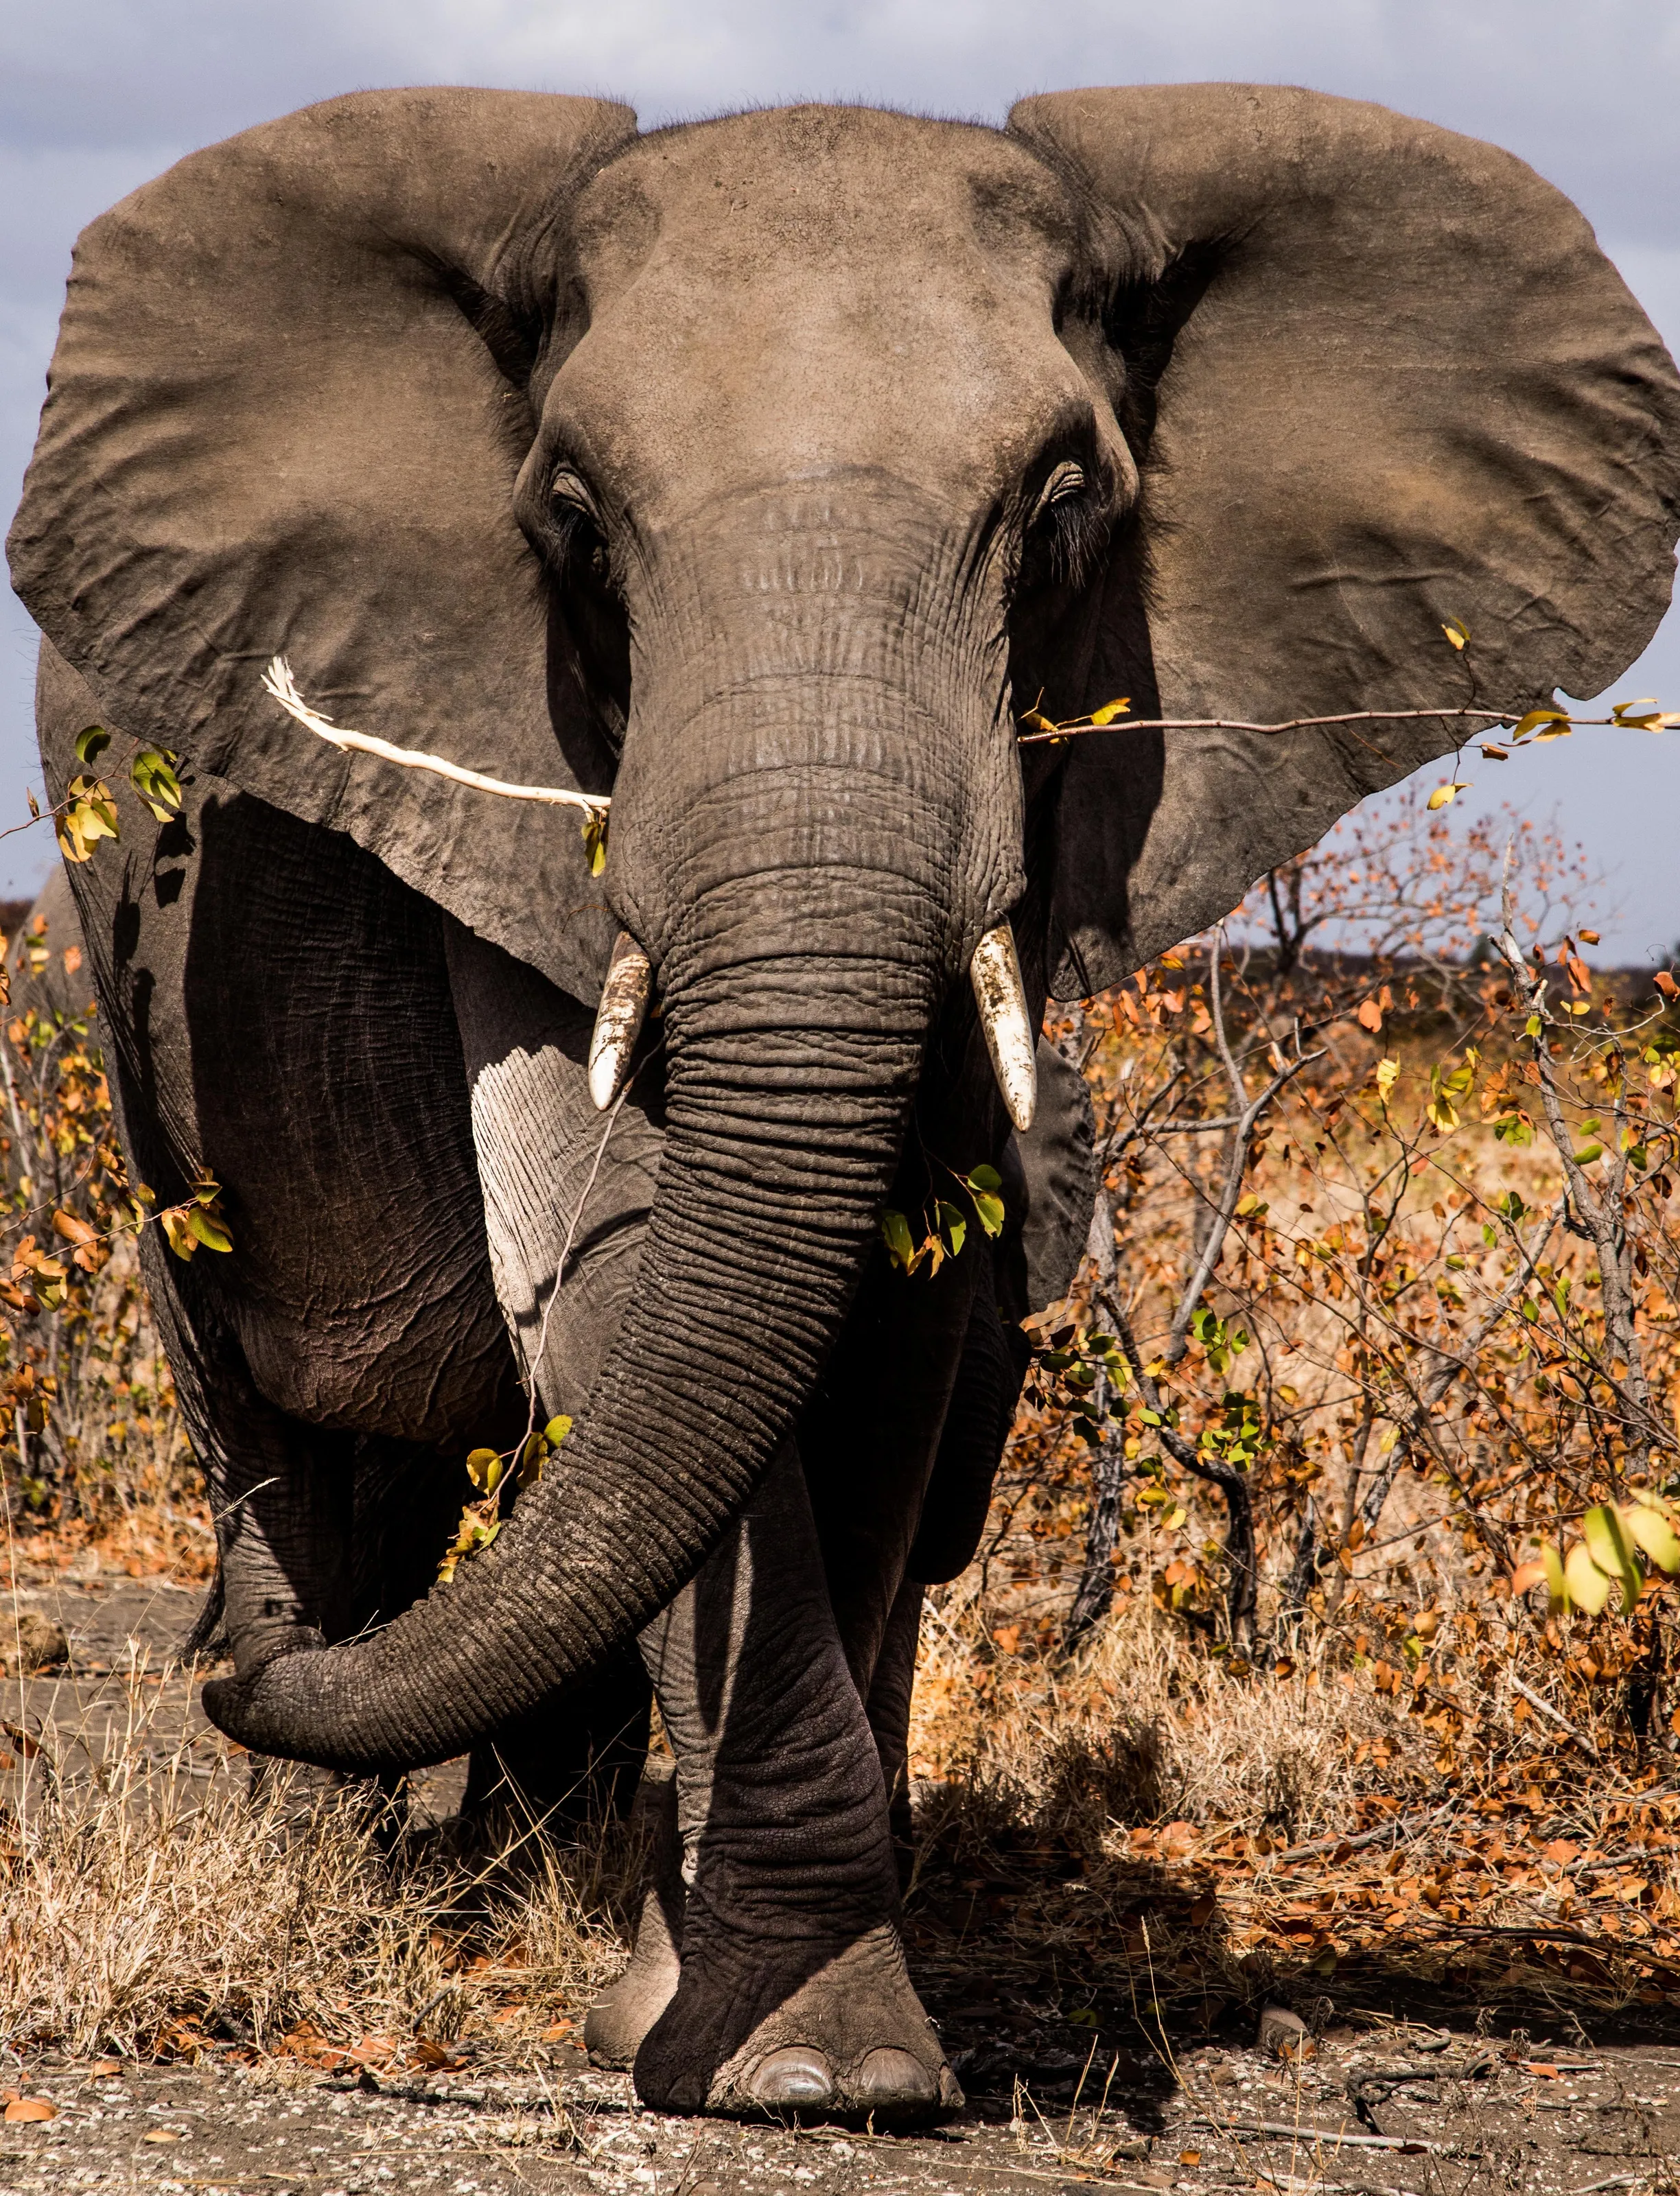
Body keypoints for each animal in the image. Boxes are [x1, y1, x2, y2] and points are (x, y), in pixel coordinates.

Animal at [7, 84, 1679, 2120]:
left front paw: (784, 2042)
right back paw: (344, 1838)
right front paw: (791, 2064)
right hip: (130, 1012)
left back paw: (504, 1858)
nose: (221, 1682)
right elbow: (624, 1285)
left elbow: (882, 1330)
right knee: (295, 1440)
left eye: (1064, 505)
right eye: (571, 515)